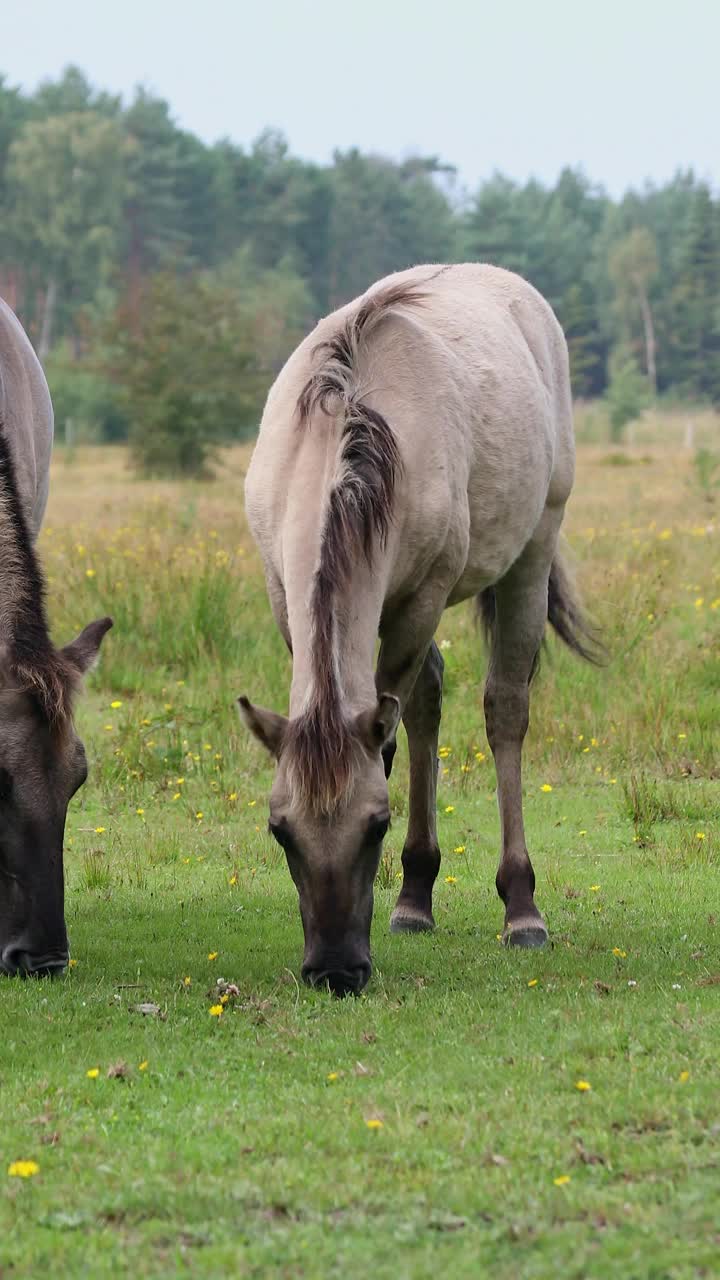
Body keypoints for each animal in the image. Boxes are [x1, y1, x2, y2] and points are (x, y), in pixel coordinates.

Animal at [238, 264, 597, 993]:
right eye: (280, 831)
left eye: (376, 826)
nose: (335, 971)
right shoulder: (287, 600)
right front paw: (408, 896)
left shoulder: (420, 600)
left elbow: (392, 740)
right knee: (429, 698)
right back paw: (416, 895)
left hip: (531, 551)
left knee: (503, 709)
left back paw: (521, 907)